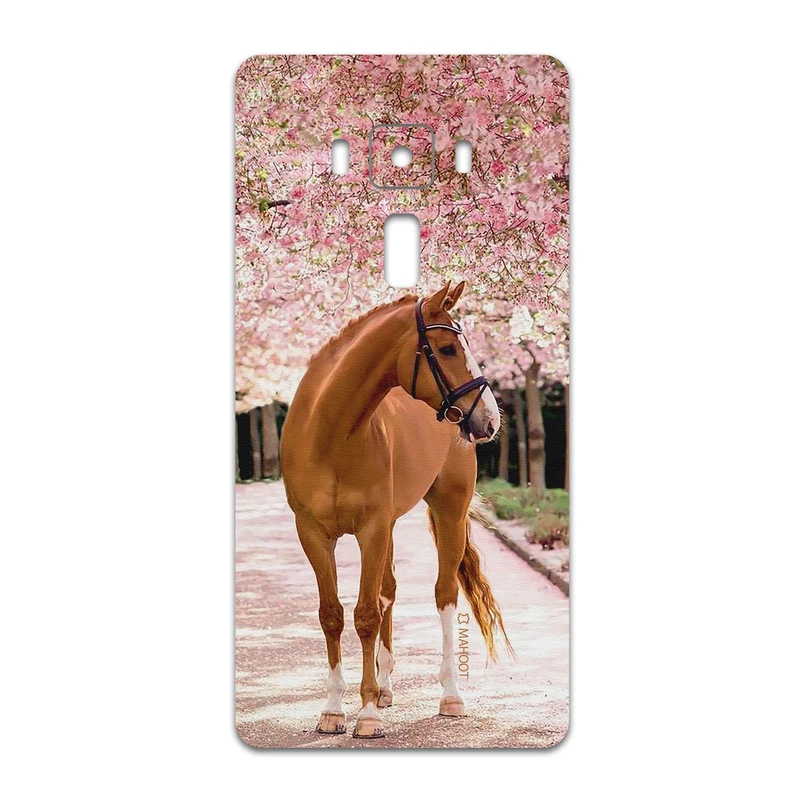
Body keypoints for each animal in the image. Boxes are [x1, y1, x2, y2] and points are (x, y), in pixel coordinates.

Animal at [281, 281, 510, 739]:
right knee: (388, 591)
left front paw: (366, 715)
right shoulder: (313, 533)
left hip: (448, 510)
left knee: (443, 594)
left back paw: (450, 695)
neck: (330, 433)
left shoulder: (371, 529)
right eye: (447, 348)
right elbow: (332, 615)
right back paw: (385, 688)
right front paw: (333, 710)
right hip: (388, 526)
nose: (490, 419)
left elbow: (366, 614)